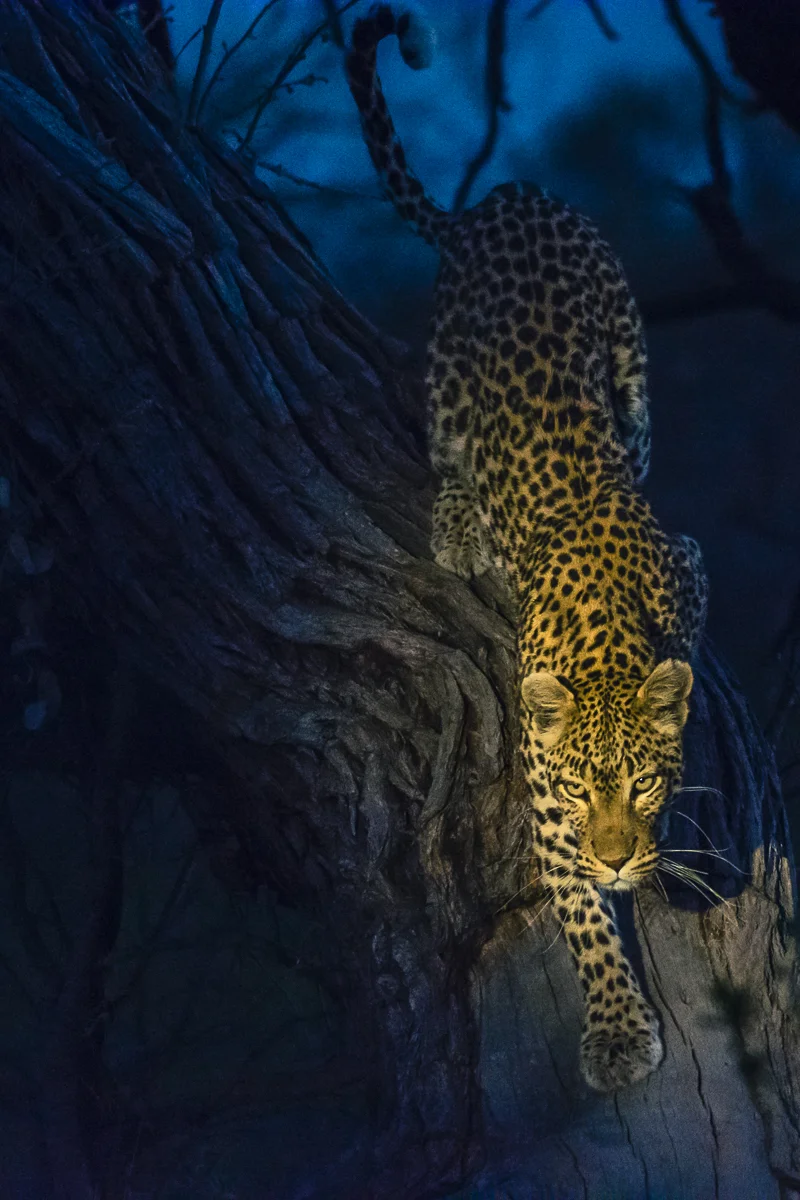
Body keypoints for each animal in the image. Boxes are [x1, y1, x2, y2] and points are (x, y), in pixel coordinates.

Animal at [347, 3, 708, 1092]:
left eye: (643, 783)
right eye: (584, 789)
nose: (619, 855)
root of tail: (505, 195)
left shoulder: (693, 565)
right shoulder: (544, 804)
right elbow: (579, 918)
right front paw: (616, 1032)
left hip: (630, 356)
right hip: (444, 376)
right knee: (447, 447)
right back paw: (460, 526)